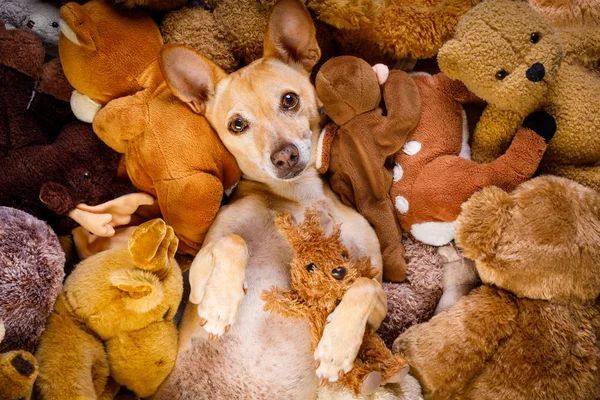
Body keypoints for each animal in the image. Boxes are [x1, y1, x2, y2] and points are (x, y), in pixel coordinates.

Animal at [155, 0, 390, 396]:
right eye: (237, 125)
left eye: (289, 100)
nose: (284, 157)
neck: (298, 200)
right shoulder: (196, 277)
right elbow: (233, 242)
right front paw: (221, 303)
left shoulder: (376, 293)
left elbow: (364, 284)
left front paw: (337, 347)